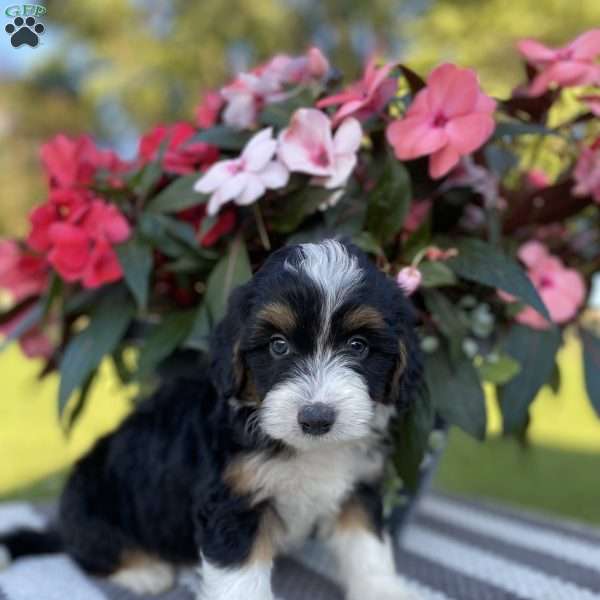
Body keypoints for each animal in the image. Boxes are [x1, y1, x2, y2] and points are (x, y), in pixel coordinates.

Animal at [0, 239, 422, 600]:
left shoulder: (359, 486)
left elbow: (367, 547)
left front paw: (384, 591)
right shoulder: (233, 500)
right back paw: (145, 571)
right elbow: (241, 577)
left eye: (358, 346)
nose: (316, 418)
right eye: (278, 346)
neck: (305, 449)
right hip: (90, 496)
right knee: (89, 551)